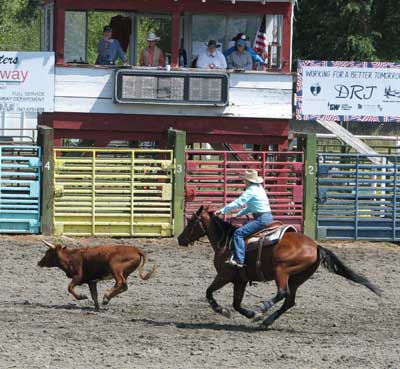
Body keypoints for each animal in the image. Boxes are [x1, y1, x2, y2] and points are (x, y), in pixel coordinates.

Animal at [178, 204, 382, 328]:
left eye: (191, 222)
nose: (180, 239)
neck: (226, 242)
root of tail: (316, 246)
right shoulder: (240, 280)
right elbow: (236, 304)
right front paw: (251, 315)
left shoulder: (225, 275)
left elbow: (209, 292)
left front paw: (223, 311)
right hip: (298, 277)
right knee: (289, 301)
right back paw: (266, 321)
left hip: (281, 270)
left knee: (283, 293)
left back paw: (264, 308)